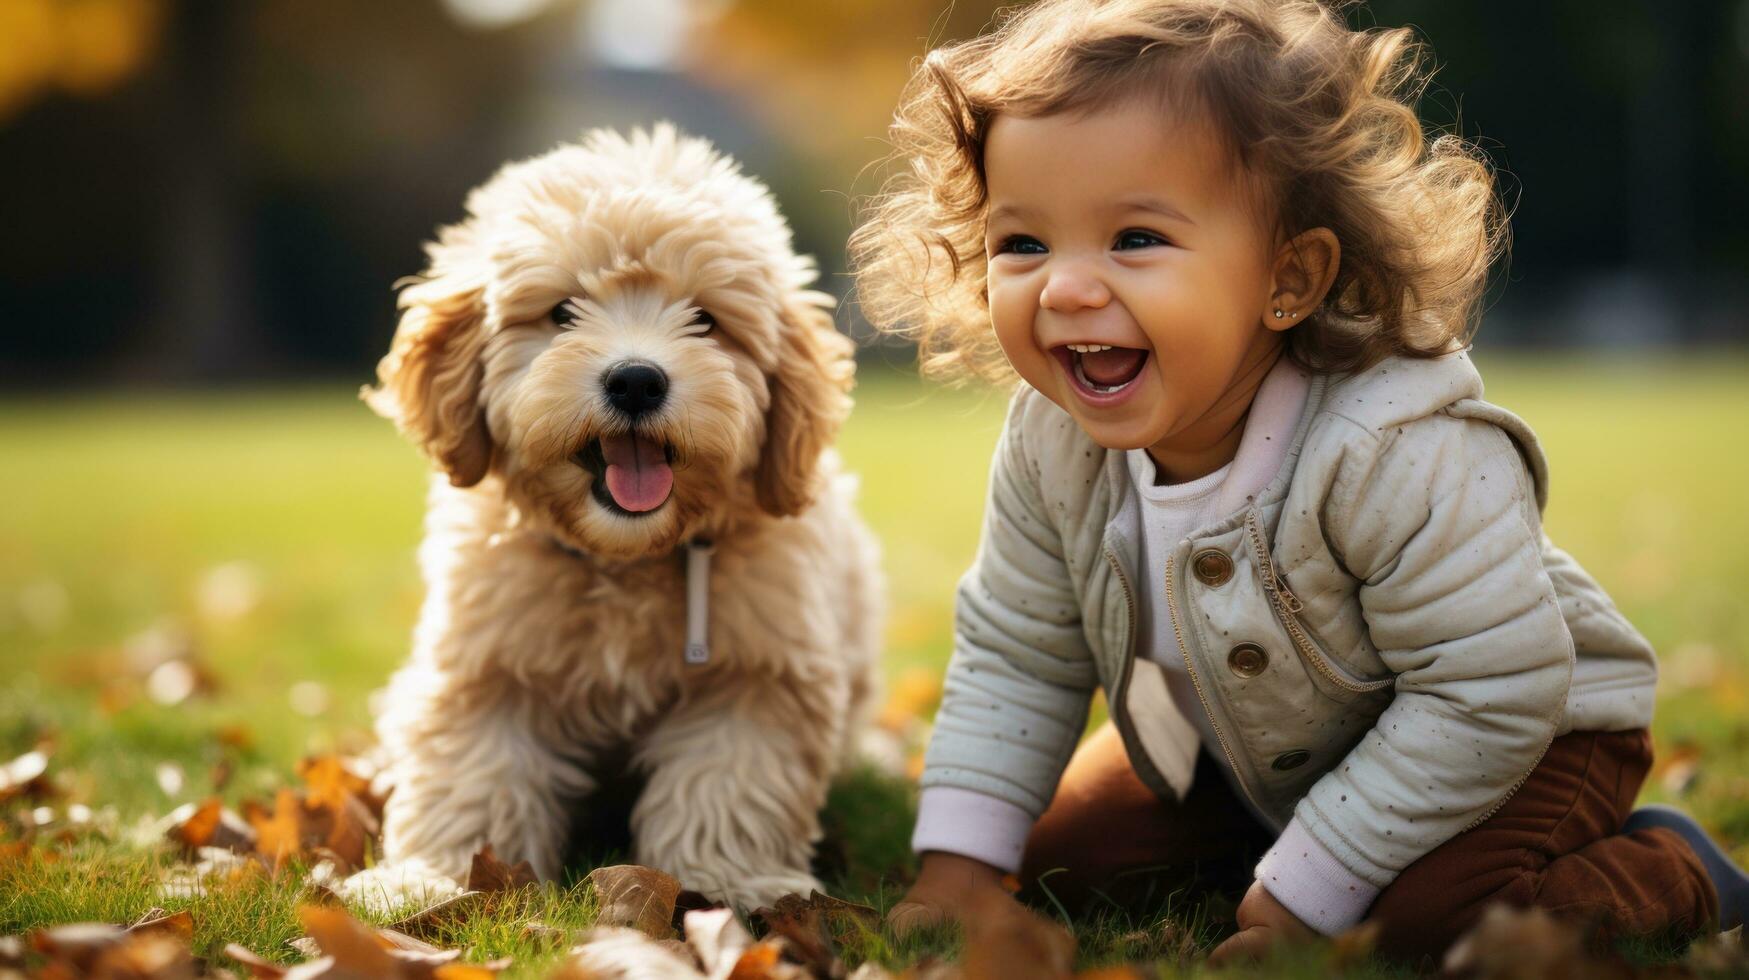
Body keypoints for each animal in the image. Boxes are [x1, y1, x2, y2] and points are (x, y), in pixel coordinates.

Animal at [346, 124, 881, 910]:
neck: (626, 558)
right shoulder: (488, 662)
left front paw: (727, 880)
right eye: (562, 311)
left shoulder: (758, 673)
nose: (635, 380)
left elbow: (730, 779)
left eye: (705, 321)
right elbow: (471, 771)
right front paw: (433, 878)